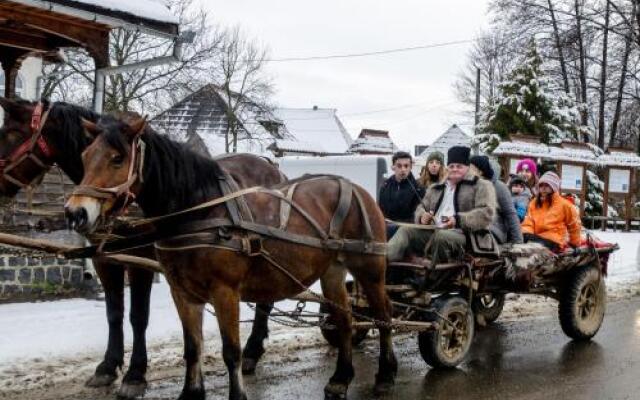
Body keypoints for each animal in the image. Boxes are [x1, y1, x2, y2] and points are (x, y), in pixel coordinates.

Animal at [0, 98, 284, 398]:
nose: (75, 213)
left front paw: (135, 373)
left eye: (10, 134)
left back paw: (252, 351)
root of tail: (270, 166)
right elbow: (114, 314)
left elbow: (138, 316)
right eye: (85, 156)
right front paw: (107, 366)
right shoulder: (106, 260)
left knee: (265, 302)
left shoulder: (140, 261)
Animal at [65, 115, 396, 400]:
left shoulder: (225, 292)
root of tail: (356, 188)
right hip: (332, 271)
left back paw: (386, 374)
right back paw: (341, 378)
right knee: (345, 320)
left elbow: (231, 351)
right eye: (85, 156)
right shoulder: (183, 293)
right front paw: (191, 393)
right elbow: (192, 348)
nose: (75, 212)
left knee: (383, 315)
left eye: (117, 158)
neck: (200, 212)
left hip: (369, 268)